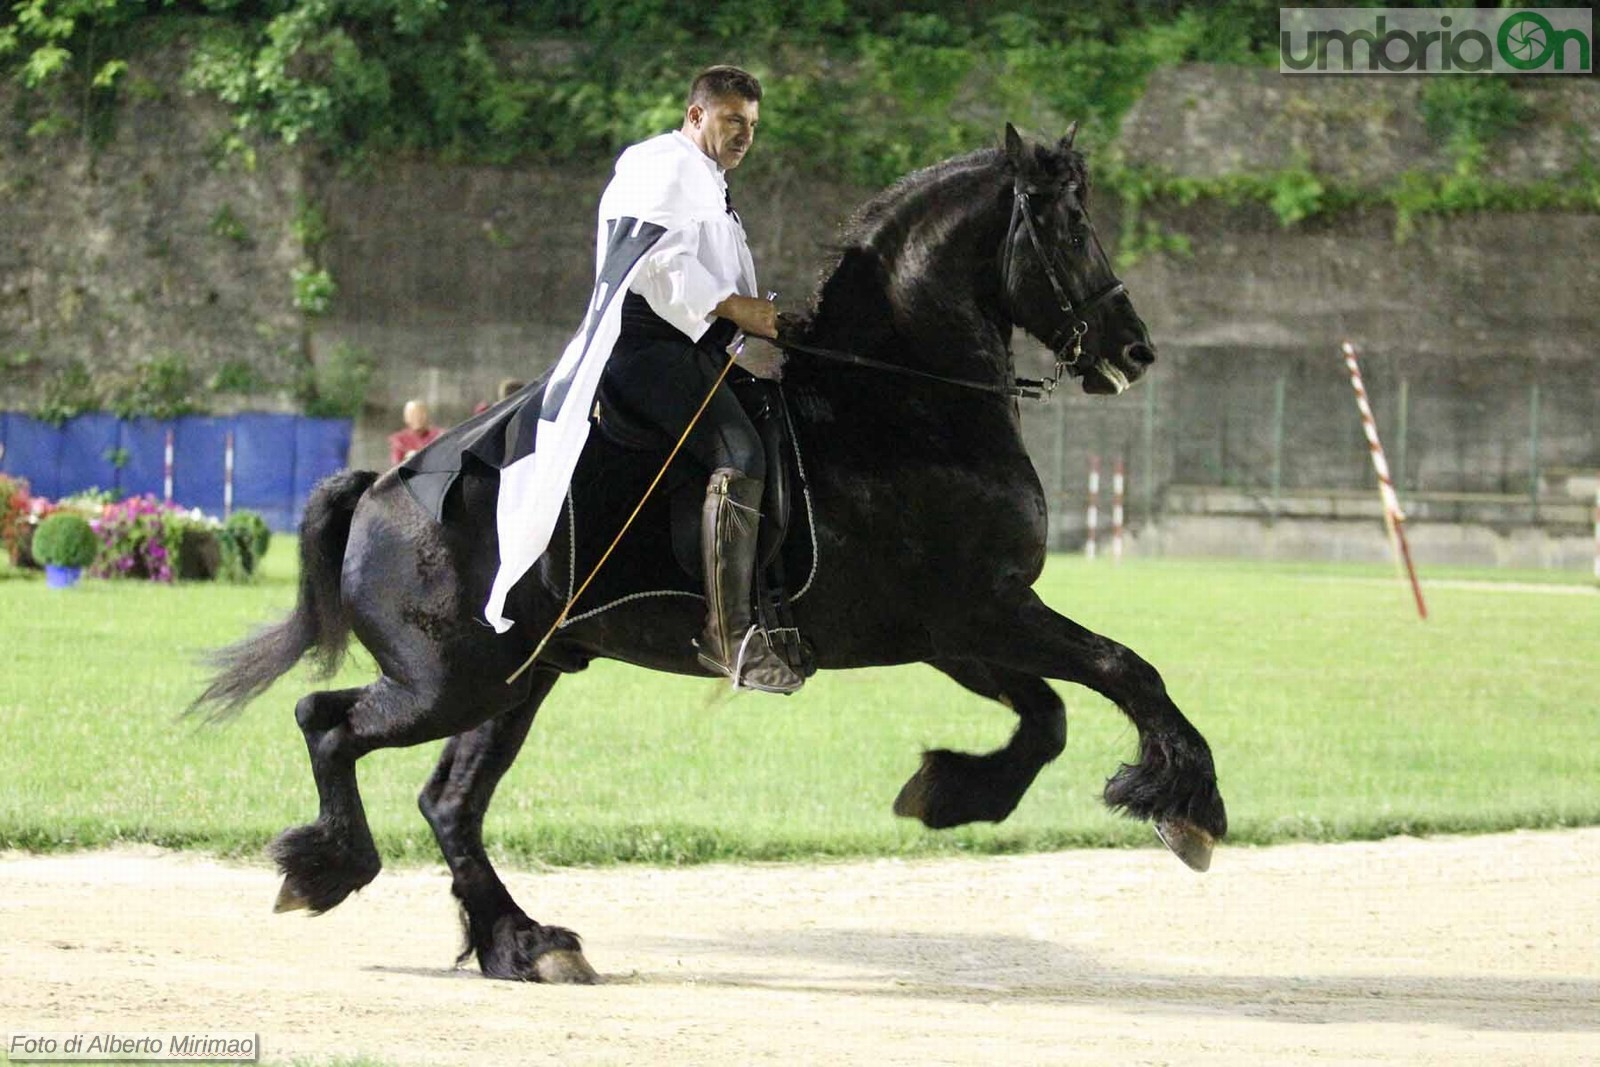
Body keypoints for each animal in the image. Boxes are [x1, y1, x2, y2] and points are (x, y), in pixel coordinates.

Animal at [193, 125, 1228, 985]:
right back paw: (334, 868)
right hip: (450, 680)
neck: (899, 402)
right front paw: (1188, 802)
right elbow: (1125, 669)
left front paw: (949, 792)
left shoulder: (957, 631)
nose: (1135, 349)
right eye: (1068, 225)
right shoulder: (983, 611)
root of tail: (382, 486)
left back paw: (522, 941)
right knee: (328, 724)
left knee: (448, 802)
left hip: (516, 681)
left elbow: (1050, 714)